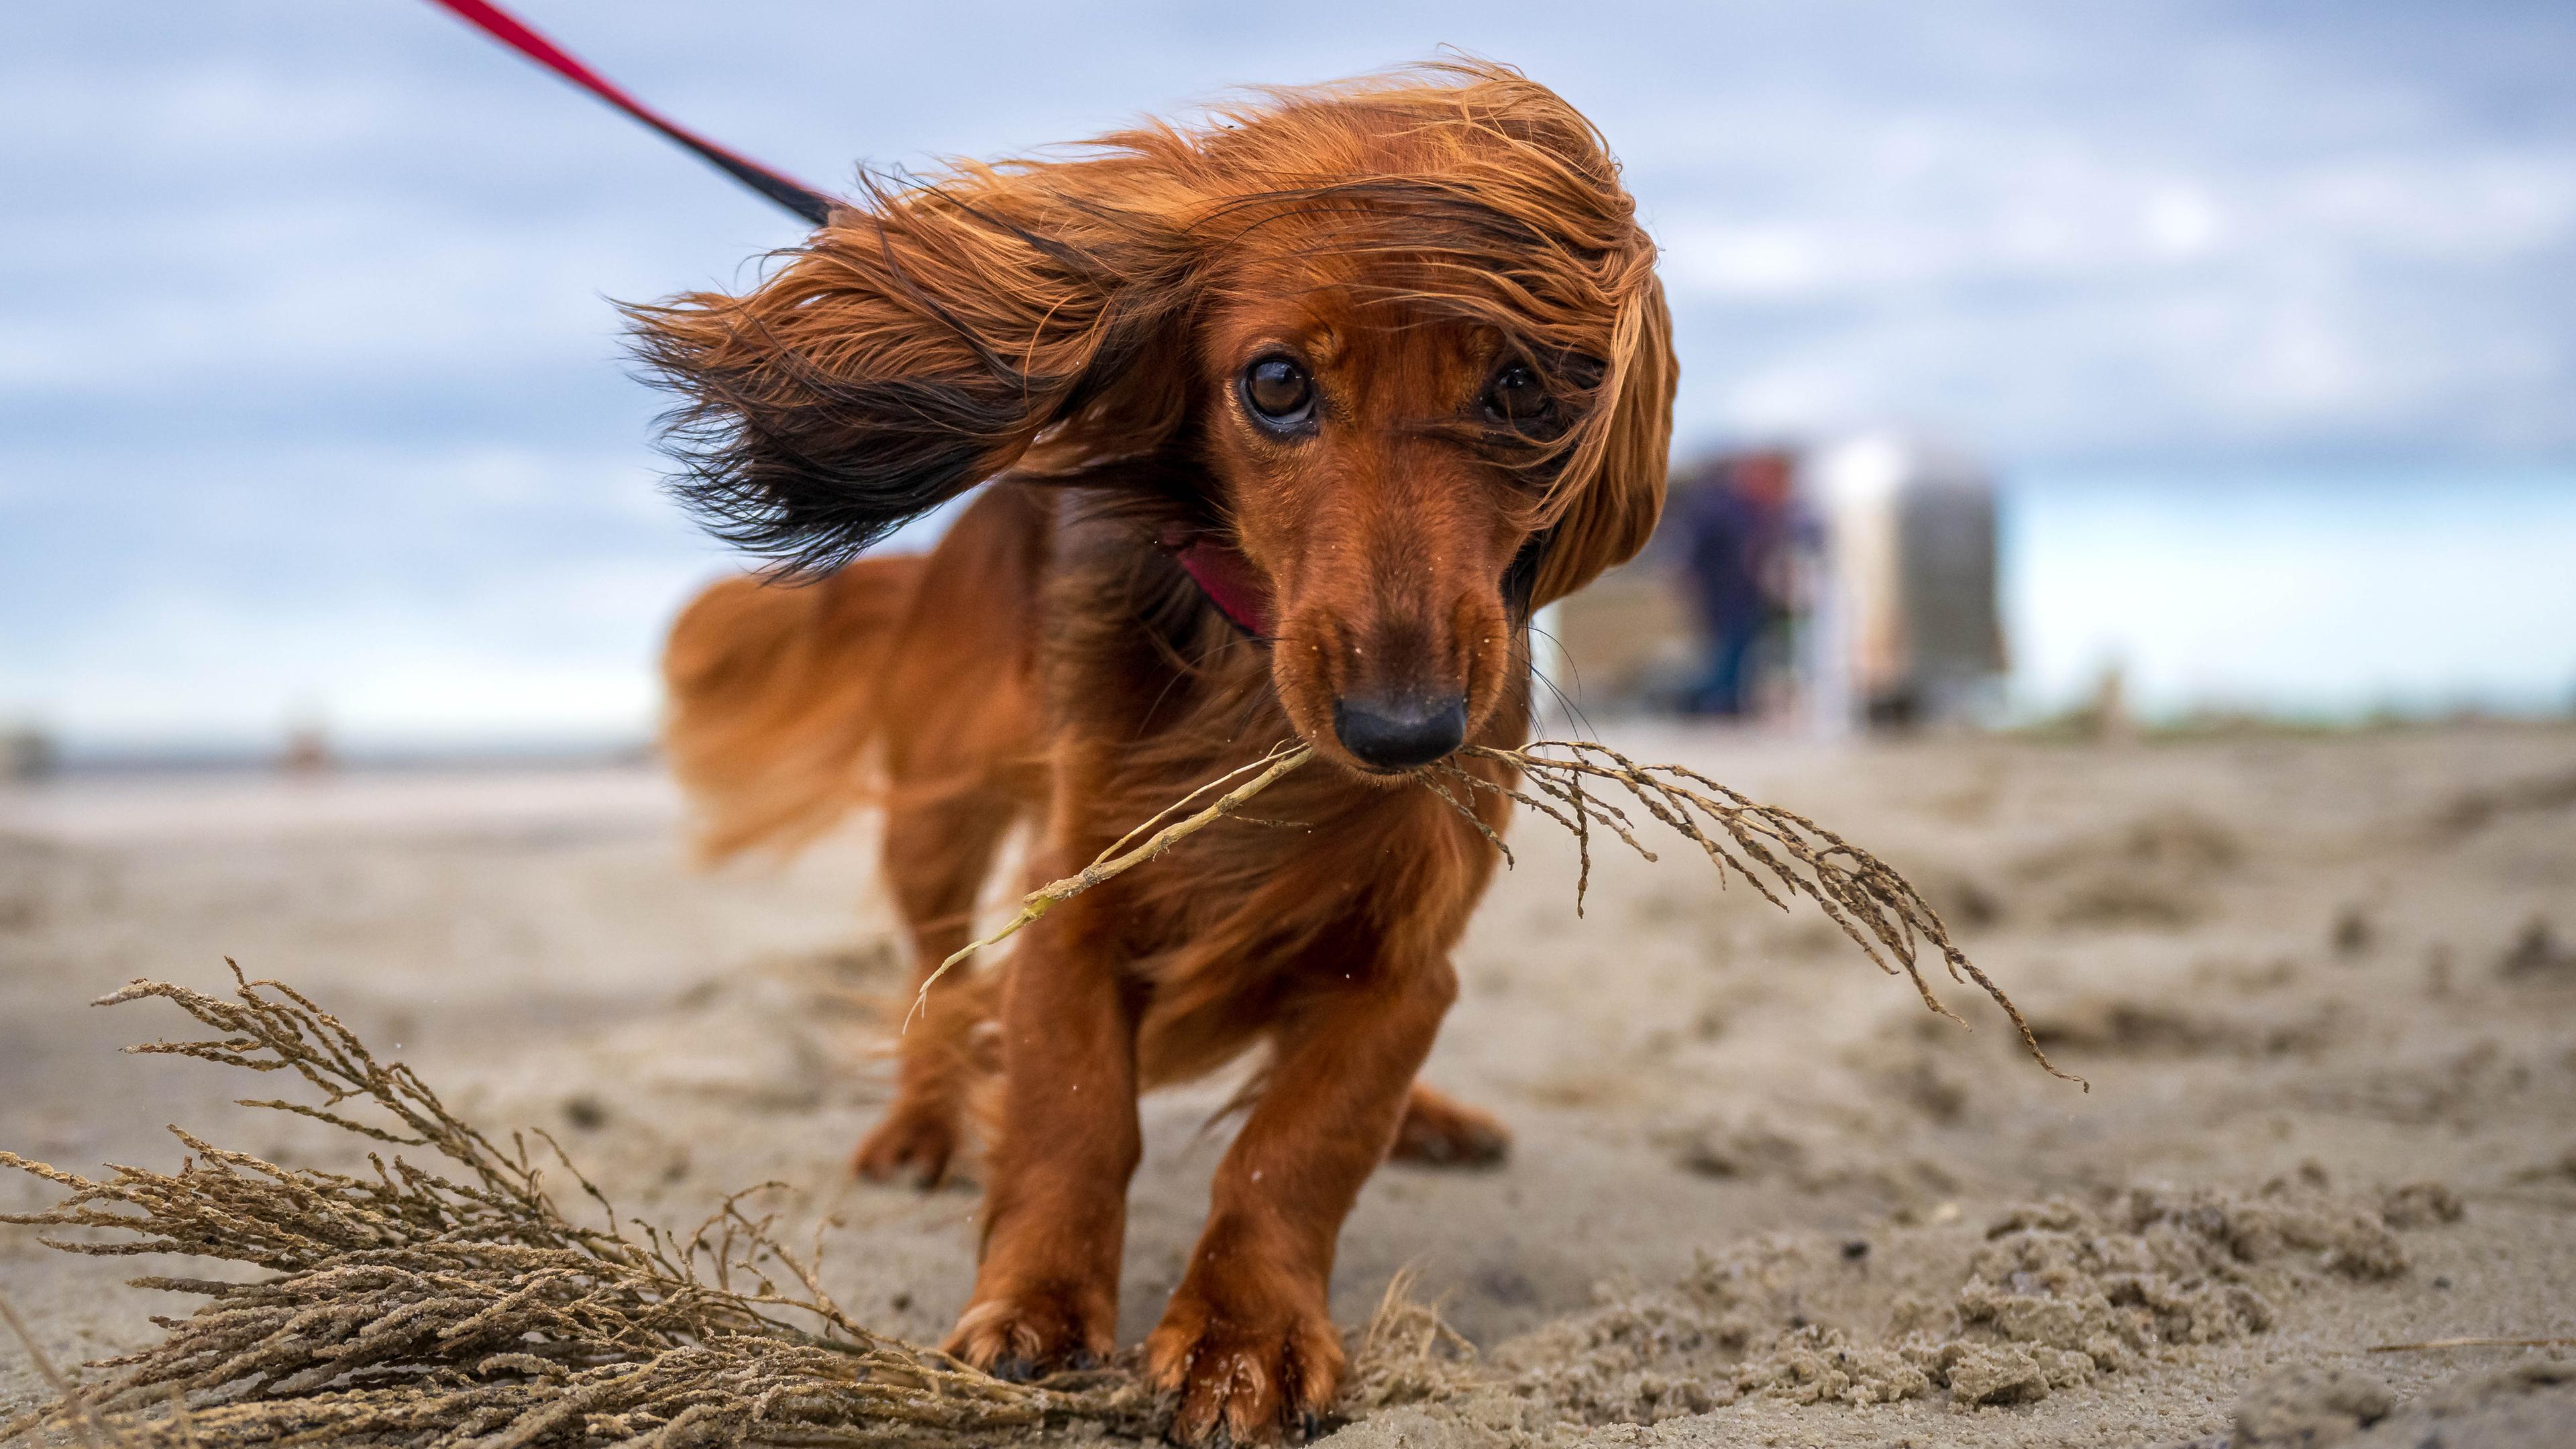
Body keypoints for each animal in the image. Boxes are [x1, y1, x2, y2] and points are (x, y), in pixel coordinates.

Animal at [633, 62, 1658, 1433]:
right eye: (1275, 385)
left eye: (1523, 391)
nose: (1403, 734)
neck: (1255, 693)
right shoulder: (1077, 902)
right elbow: (1075, 1115)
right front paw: (1038, 1303)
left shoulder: (1405, 960)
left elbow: (1299, 1148)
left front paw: (1244, 1335)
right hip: (938, 819)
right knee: (935, 985)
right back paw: (921, 1123)